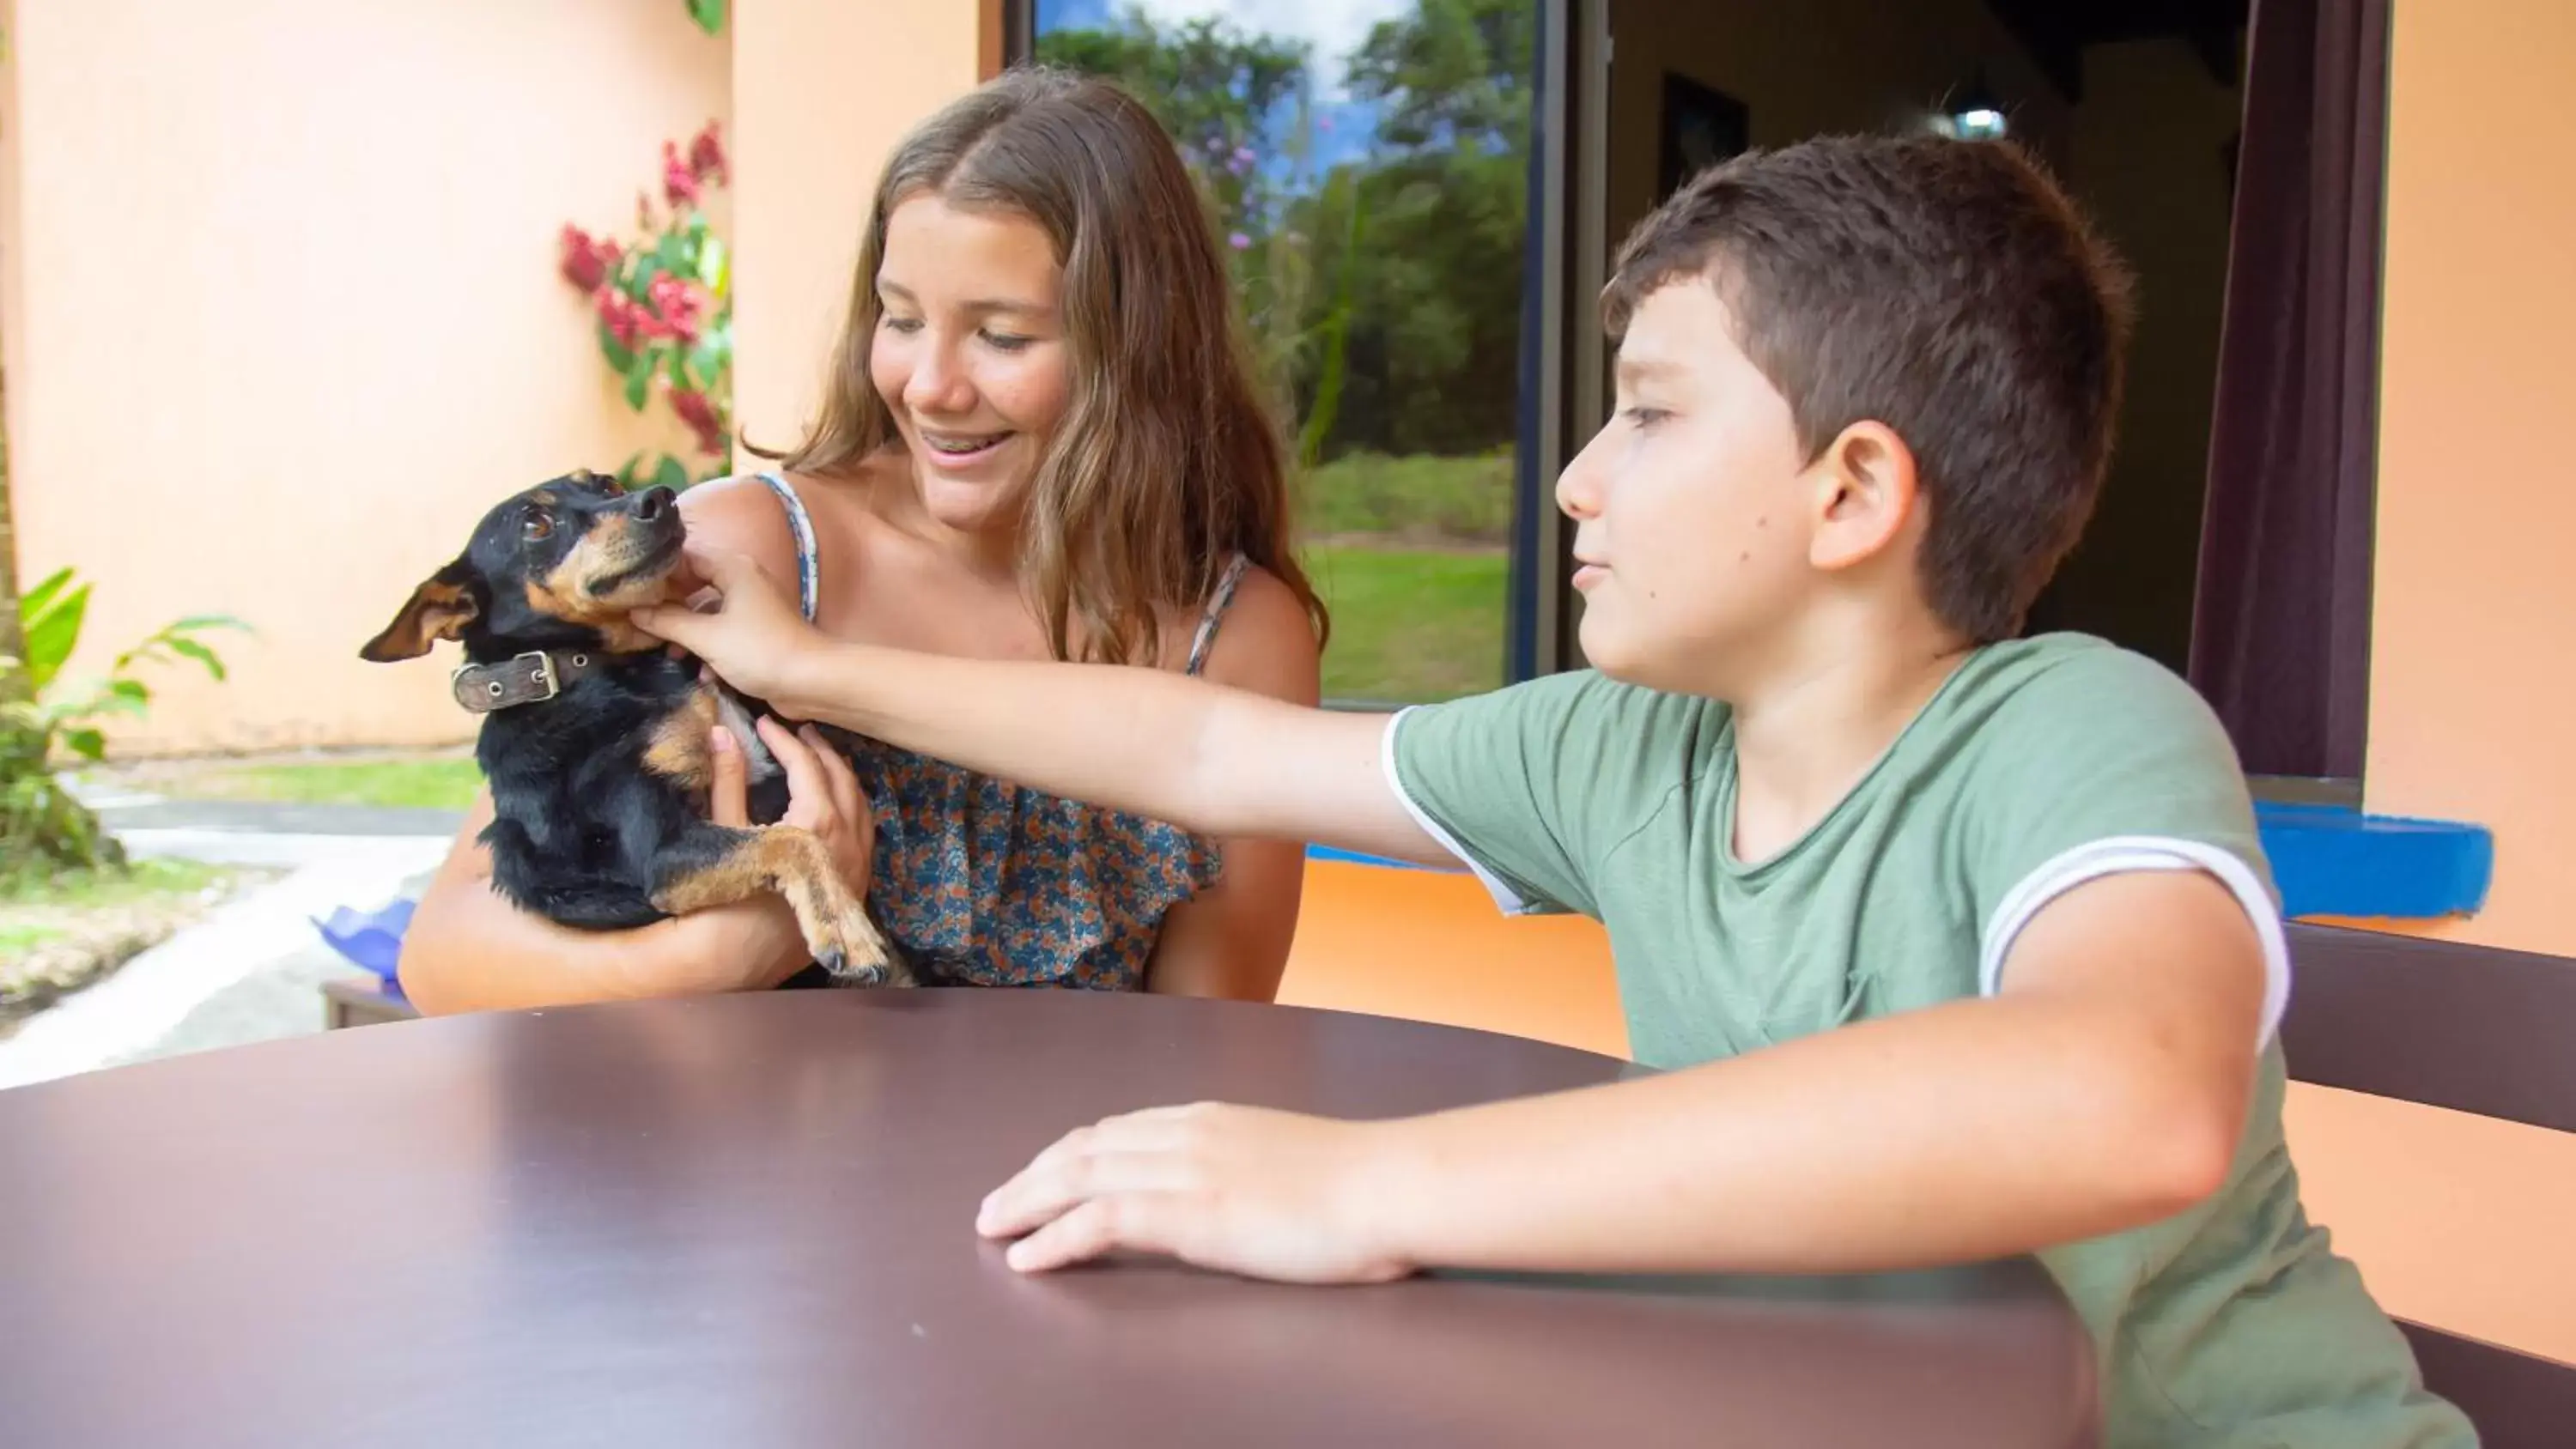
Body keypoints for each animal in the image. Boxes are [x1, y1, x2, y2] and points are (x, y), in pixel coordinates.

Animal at [358, 470, 907, 993]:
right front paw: (847, 930)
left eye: (607, 484)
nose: (659, 498)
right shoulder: (661, 853)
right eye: (536, 525)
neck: (610, 668)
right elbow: (792, 839)